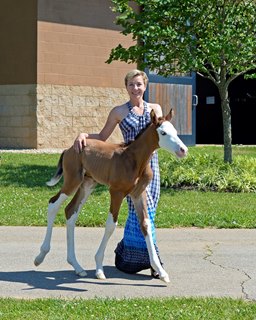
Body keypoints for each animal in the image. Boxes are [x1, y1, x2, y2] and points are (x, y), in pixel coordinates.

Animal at [34, 109, 187, 282]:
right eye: (163, 133)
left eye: (175, 131)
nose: (183, 150)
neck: (133, 159)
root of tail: (69, 149)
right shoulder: (116, 192)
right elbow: (110, 226)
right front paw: (99, 268)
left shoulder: (138, 194)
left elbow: (146, 224)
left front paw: (161, 272)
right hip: (72, 181)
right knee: (53, 204)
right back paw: (40, 256)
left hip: (87, 184)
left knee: (70, 211)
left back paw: (77, 267)